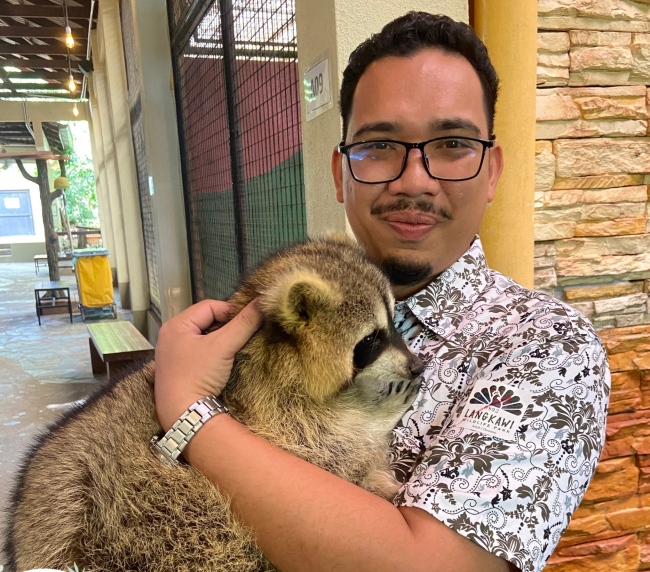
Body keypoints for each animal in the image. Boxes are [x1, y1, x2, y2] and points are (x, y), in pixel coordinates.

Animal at [7, 236, 422, 572]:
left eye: (395, 323)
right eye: (371, 340)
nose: (417, 365)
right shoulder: (265, 406)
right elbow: (326, 447)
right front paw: (376, 415)